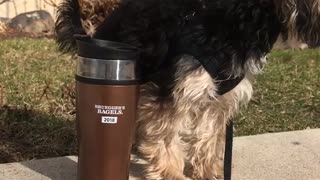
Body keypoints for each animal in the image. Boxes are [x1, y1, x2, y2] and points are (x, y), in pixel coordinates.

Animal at [55, 0, 320, 179]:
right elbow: (166, 134)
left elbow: (209, 134)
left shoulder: (220, 97)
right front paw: (170, 172)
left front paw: (207, 170)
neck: (238, 17)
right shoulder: (170, 89)